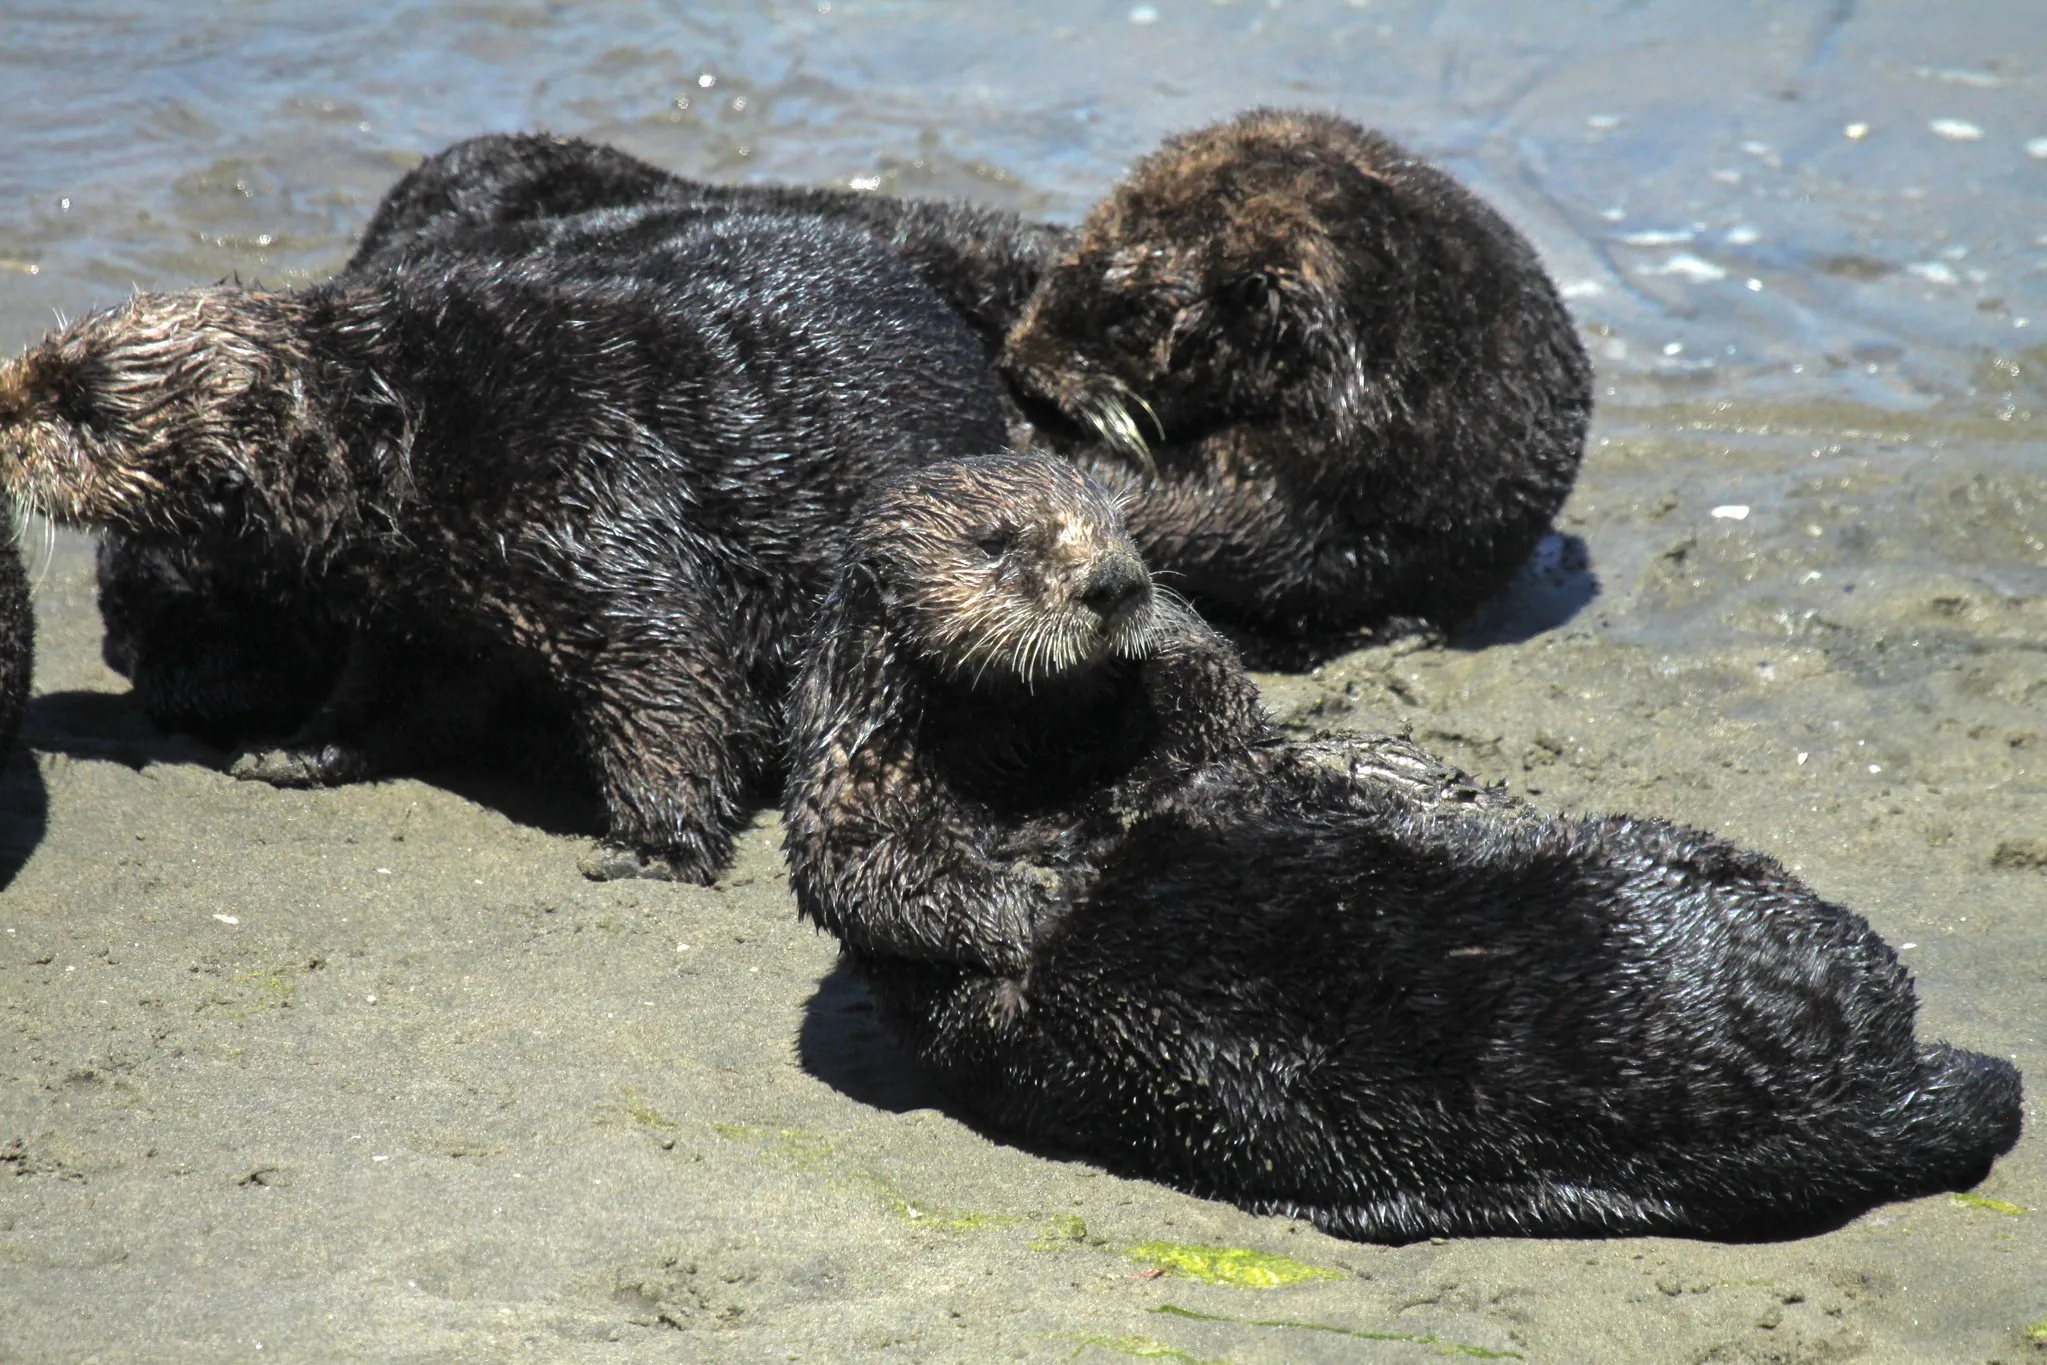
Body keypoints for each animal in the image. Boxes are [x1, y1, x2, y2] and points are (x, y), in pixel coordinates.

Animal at [0, 211, 1009, 881]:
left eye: (83, 405)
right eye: (47, 354)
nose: (6, 404)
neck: (410, 429)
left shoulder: (591, 502)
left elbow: (667, 669)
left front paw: (652, 846)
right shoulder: (418, 603)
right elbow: (385, 688)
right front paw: (294, 751)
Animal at [781, 451, 2022, 1242]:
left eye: (1123, 524)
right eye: (1001, 545)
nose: (1114, 581)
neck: (1036, 762)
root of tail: (1864, 1084)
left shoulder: (1181, 746)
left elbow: (1216, 719)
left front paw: (1176, 644)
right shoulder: (858, 782)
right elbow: (870, 876)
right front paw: (1037, 899)